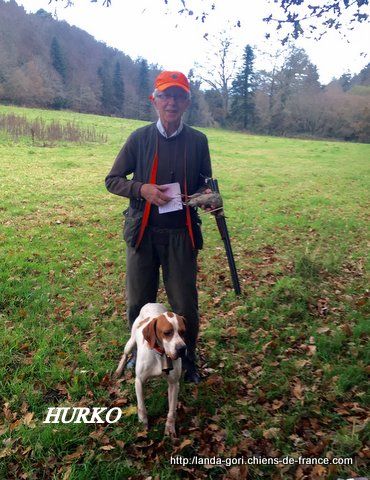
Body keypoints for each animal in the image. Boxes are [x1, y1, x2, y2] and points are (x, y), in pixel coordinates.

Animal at [114, 306, 186, 436]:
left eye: (183, 332)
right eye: (167, 333)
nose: (182, 349)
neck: (161, 355)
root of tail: (150, 304)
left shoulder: (174, 384)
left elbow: (172, 410)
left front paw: (170, 427)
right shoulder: (139, 381)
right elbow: (141, 405)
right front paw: (143, 423)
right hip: (130, 343)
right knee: (125, 354)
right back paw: (119, 370)